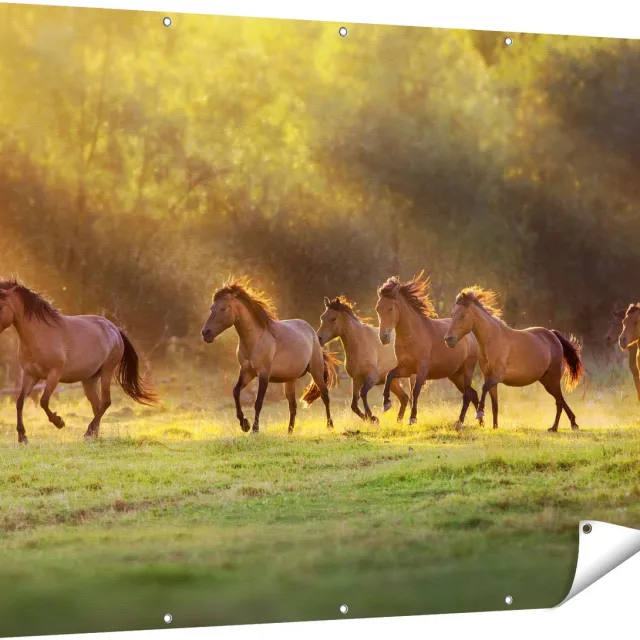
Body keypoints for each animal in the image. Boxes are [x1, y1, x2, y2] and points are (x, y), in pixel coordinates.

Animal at [0, 278, 156, 443]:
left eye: (1, 306)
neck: (40, 334)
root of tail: (115, 329)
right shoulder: (30, 375)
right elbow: (20, 402)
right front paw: (22, 437)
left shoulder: (54, 374)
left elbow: (44, 401)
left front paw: (59, 422)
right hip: (89, 379)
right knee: (97, 404)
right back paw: (94, 435)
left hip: (107, 370)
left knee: (106, 402)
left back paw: (88, 433)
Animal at [201, 277, 337, 434]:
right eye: (212, 308)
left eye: (223, 308)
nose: (205, 333)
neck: (255, 339)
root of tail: (313, 333)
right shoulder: (247, 372)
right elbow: (235, 392)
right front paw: (244, 424)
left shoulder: (264, 374)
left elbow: (258, 402)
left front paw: (254, 429)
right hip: (290, 380)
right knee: (293, 406)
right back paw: (289, 432)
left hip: (316, 371)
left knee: (325, 395)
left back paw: (330, 426)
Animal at [375, 272, 483, 428]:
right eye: (378, 308)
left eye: (390, 308)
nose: (384, 337)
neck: (412, 336)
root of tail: (471, 335)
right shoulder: (406, 368)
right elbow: (390, 375)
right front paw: (386, 404)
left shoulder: (422, 369)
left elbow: (415, 391)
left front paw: (412, 418)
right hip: (455, 375)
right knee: (472, 393)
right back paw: (481, 422)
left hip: (467, 369)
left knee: (468, 394)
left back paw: (461, 422)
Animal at [443, 287, 583, 432]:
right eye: (452, 314)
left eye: (463, 315)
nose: (448, 339)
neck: (493, 340)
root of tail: (552, 334)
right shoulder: (490, 377)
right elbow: (494, 404)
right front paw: (495, 427)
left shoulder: (497, 376)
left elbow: (484, 388)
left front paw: (480, 413)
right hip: (546, 381)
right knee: (560, 399)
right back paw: (573, 423)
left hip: (553, 379)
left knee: (559, 401)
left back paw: (554, 428)